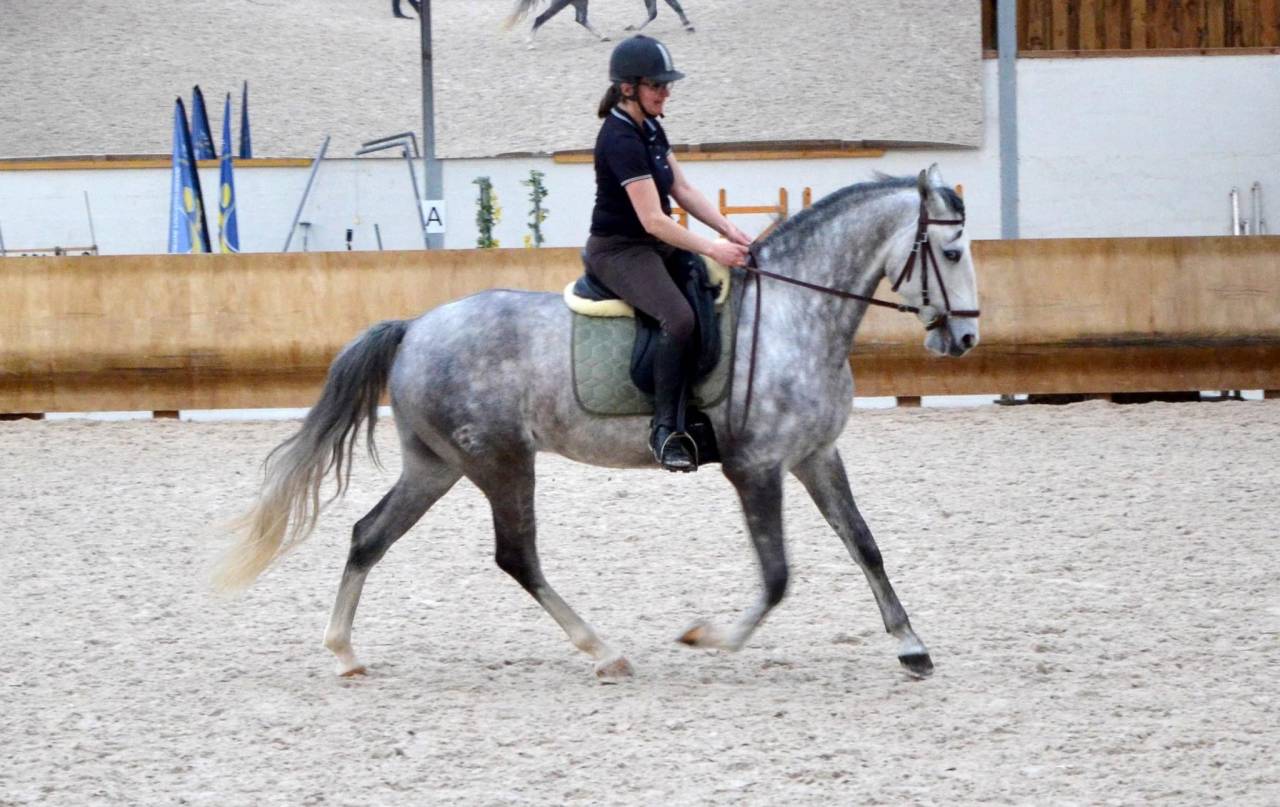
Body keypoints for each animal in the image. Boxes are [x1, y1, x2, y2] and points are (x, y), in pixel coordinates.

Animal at [213, 165, 980, 683]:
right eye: (950, 253)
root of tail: (415, 327)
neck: (798, 316)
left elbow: (865, 544)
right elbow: (778, 575)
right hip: (500, 462)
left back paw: (344, 652)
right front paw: (709, 638)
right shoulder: (756, 467)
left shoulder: (817, 455)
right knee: (516, 556)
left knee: (369, 535)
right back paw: (604, 650)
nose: (967, 339)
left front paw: (911, 646)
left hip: (438, 466)